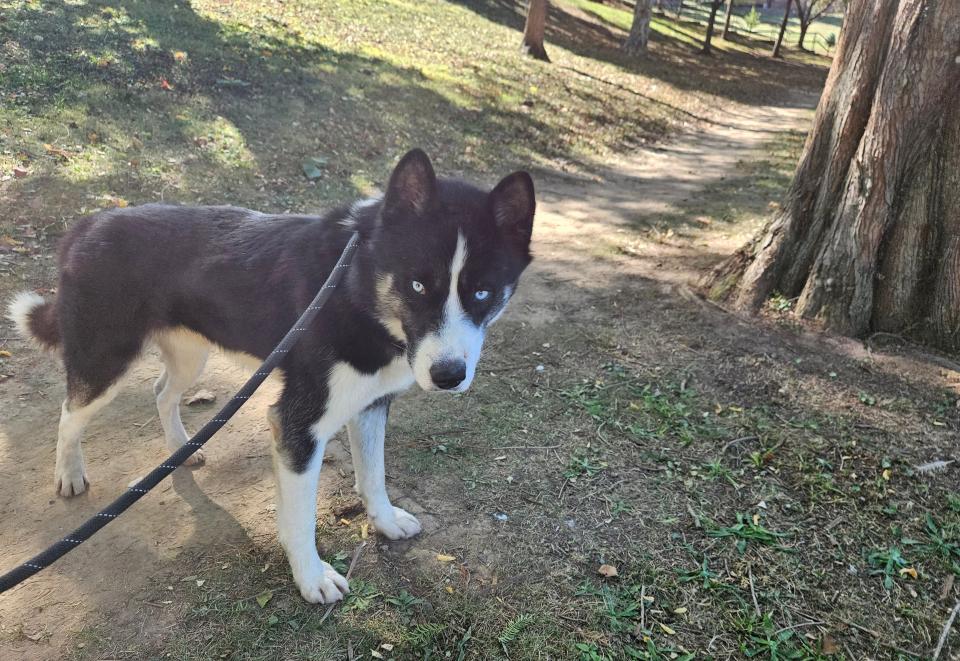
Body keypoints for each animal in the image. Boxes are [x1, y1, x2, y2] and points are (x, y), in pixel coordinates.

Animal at [7, 150, 532, 604]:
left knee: (161, 391)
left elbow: (374, 475)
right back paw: (69, 473)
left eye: (483, 293)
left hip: (189, 355)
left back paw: (180, 448)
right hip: (104, 361)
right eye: (418, 285)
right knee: (70, 412)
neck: (358, 287)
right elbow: (301, 517)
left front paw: (382, 520)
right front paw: (312, 577)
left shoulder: (369, 405)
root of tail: (87, 225)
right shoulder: (298, 425)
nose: (448, 375)